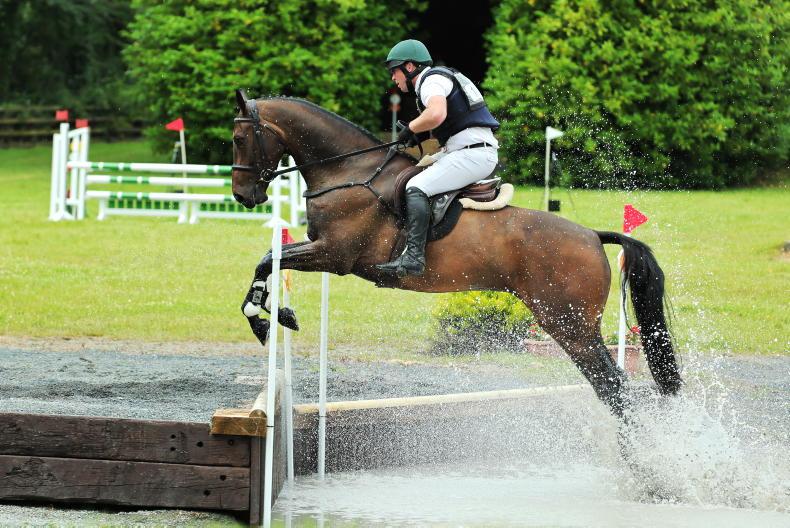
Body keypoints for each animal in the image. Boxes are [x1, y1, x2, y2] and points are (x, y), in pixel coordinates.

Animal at [230, 89, 682, 416]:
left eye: (238, 139)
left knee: (612, 385)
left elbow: (268, 260)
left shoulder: (334, 255)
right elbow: (267, 260)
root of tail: (591, 236)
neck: (350, 173)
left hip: (569, 324)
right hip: (570, 324)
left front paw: (265, 319)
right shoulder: (323, 250)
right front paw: (273, 315)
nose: (243, 196)